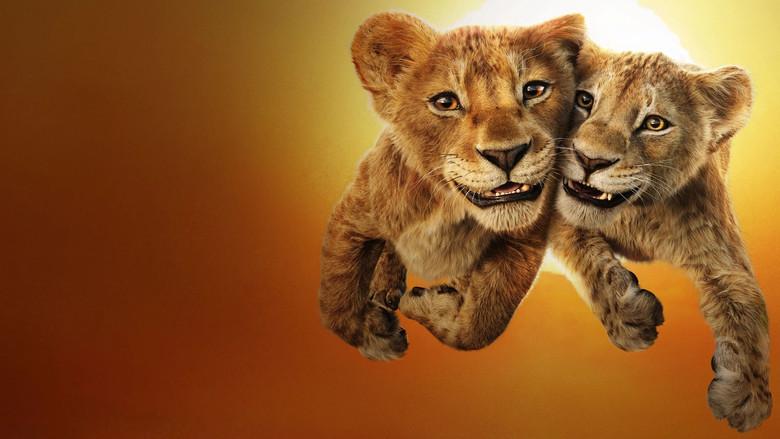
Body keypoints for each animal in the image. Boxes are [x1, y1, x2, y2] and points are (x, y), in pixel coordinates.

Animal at [319, 12, 585, 360]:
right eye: (445, 102)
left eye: (534, 89)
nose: (506, 154)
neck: (448, 206)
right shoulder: (352, 218)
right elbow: (337, 299)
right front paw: (376, 336)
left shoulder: (523, 242)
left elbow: (482, 323)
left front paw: (428, 304)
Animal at [550, 42, 771, 431]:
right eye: (584, 100)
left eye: (654, 124)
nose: (589, 160)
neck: (636, 214)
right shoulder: (556, 212)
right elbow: (585, 252)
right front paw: (628, 317)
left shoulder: (722, 259)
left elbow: (749, 311)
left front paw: (748, 394)